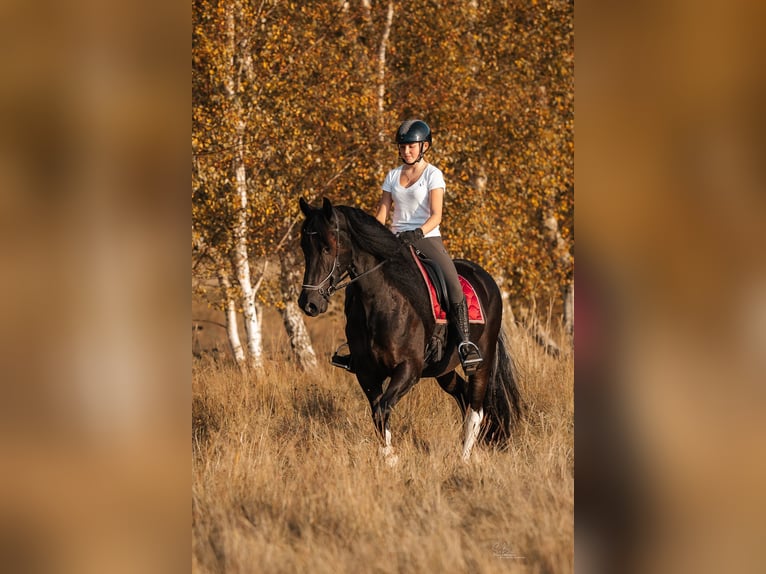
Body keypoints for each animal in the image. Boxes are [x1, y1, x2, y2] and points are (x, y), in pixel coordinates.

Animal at [296, 198, 524, 464]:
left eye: (327, 247)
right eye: (304, 247)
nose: (309, 304)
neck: (381, 302)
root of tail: (487, 280)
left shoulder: (408, 369)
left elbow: (383, 408)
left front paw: (390, 456)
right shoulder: (366, 373)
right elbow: (378, 413)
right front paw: (387, 455)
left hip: (482, 362)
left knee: (476, 408)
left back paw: (464, 458)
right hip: (443, 369)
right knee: (463, 396)